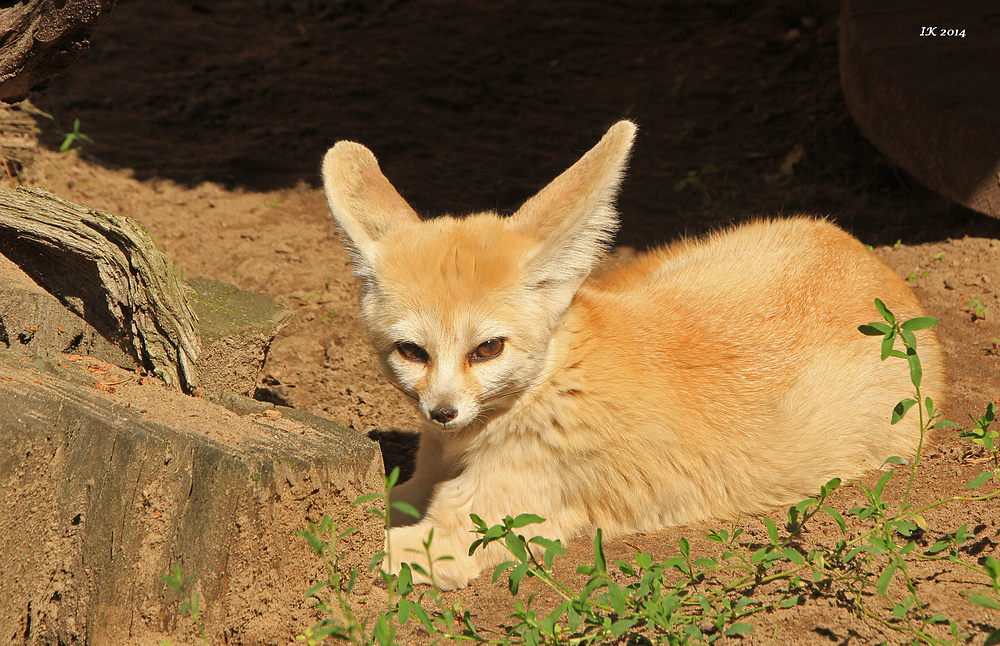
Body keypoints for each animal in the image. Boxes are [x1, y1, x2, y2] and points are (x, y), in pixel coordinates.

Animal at [322, 120, 944, 592]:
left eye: (488, 348)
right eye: (411, 351)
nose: (442, 413)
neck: (553, 382)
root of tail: (870, 258)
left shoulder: (476, 530)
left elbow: (364, 547)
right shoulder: (421, 483)